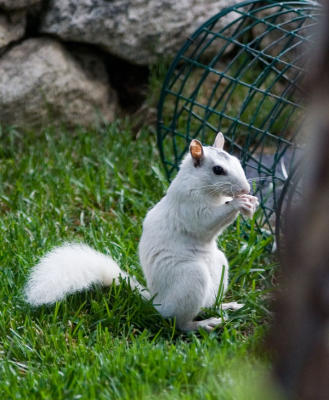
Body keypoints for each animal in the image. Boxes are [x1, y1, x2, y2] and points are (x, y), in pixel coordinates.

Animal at [25, 133, 256, 332]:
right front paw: (238, 203)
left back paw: (225, 307)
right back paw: (204, 324)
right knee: (179, 322)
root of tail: (158, 303)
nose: (246, 189)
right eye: (218, 170)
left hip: (219, 267)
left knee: (207, 304)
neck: (203, 186)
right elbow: (206, 222)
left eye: (237, 161)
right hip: (191, 278)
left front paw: (251, 203)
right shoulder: (188, 206)